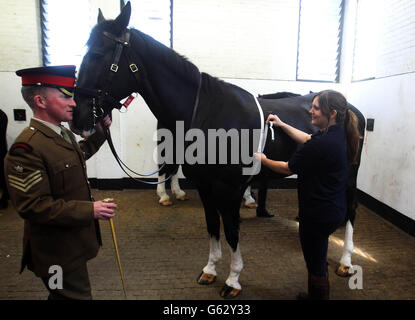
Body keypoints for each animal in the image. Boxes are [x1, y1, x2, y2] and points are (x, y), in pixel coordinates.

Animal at [71, 1, 364, 298]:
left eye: (97, 53)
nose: (78, 118)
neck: (207, 112)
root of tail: (351, 110)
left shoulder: (229, 188)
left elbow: (232, 230)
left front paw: (233, 280)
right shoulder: (205, 185)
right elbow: (212, 224)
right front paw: (210, 269)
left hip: (350, 175)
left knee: (351, 210)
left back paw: (345, 261)